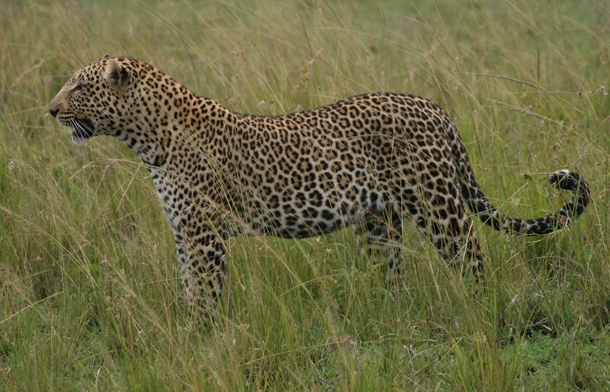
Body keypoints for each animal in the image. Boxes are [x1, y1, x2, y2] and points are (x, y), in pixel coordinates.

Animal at [48, 56, 588, 316]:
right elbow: (189, 290)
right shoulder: (185, 233)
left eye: (79, 86)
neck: (145, 138)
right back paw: (386, 319)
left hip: (439, 207)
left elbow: (207, 292)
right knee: (392, 277)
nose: (50, 110)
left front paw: (207, 338)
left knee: (474, 259)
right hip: (379, 222)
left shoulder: (206, 235)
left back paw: (482, 312)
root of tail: (434, 107)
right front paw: (188, 334)